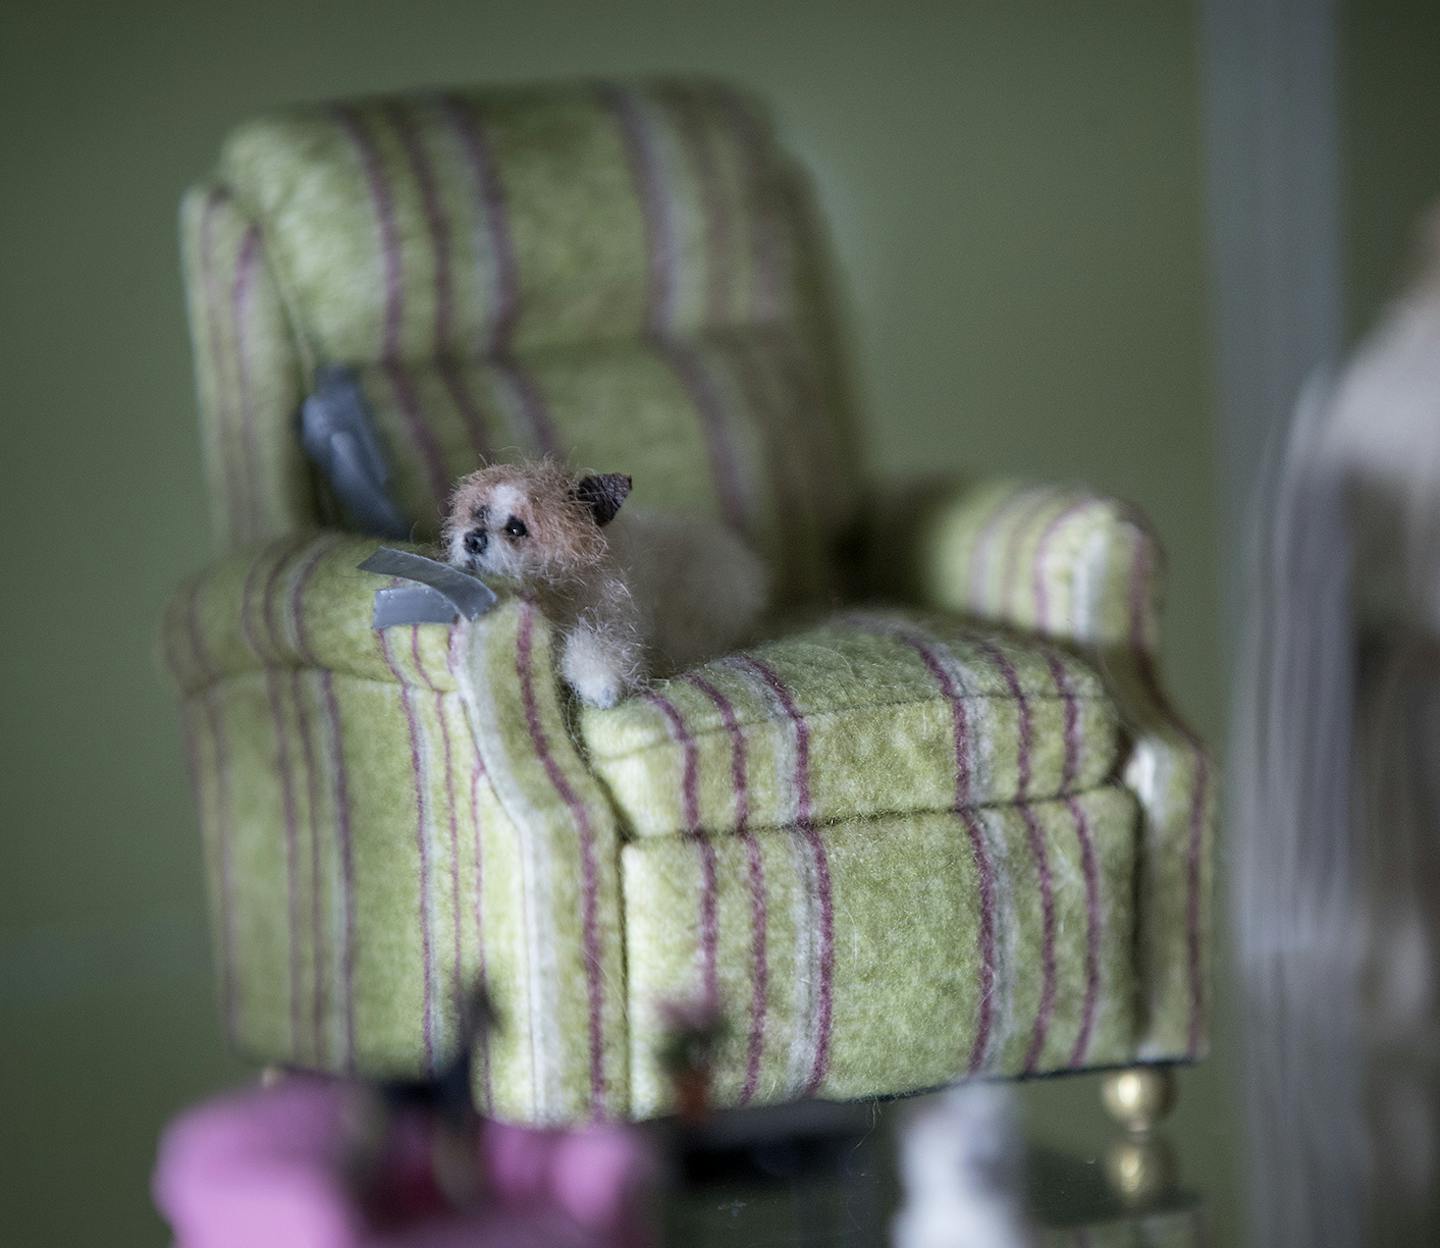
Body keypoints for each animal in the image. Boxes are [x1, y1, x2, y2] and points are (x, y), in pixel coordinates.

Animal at [443, 460, 771, 713]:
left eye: (516, 528)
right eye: (480, 513)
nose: (472, 539)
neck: (562, 591)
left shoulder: (610, 618)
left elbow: (597, 647)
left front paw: (602, 687)